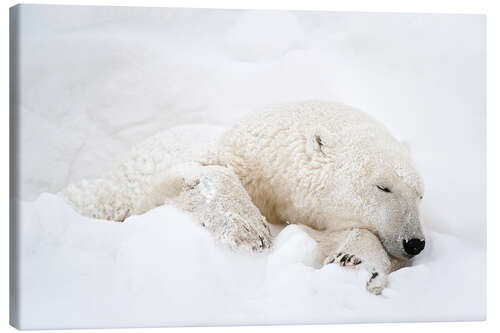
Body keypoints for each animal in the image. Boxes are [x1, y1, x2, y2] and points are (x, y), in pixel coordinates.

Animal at [60, 100, 424, 294]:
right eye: (383, 186)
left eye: (419, 194)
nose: (415, 243)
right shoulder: (230, 159)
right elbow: (190, 177)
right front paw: (248, 230)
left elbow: (328, 236)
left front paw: (358, 263)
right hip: (114, 186)